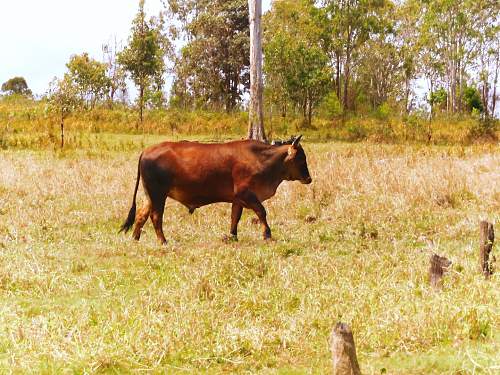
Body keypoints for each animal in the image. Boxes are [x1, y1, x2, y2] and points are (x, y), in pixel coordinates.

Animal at [119, 135, 310, 244]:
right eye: (301, 158)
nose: (309, 178)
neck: (262, 159)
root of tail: (146, 151)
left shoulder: (237, 199)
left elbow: (235, 217)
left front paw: (232, 237)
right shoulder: (246, 194)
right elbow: (262, 212)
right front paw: (267, 234)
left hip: (150, 195)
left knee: (141, 215)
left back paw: (135, 238)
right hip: (158, 194)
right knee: (156, 217)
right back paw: (163, 241)